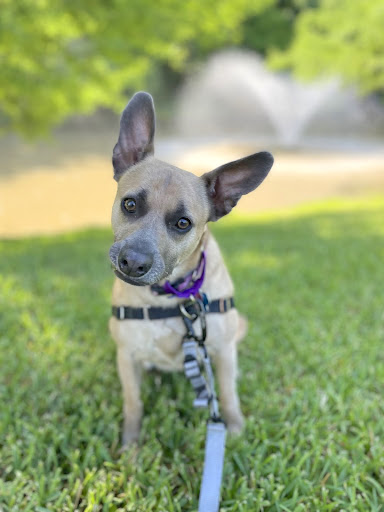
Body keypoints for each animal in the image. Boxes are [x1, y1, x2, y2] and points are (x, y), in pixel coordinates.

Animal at [108, 92, 272, 444]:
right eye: (130, 204)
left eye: (183, 223)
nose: (133, 262)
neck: (170, 296)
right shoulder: (126, 355)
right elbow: (133, 403)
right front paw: (130, 445)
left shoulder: (222, 350)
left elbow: (228, 393)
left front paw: (233, 429)